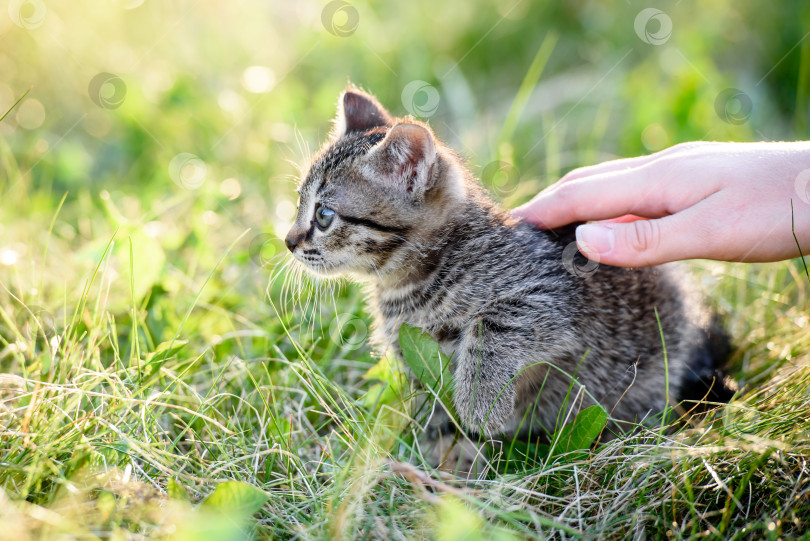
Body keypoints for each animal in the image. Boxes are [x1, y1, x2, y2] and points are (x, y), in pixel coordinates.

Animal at [286, 86, 732, 474]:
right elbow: (440, 420)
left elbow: (493, 327)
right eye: (298, 204)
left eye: (323, 215)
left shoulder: (549, 291)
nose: (288, 241)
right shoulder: (420, 368)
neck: (406, 284)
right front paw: (446, 470)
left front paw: (480, 405)